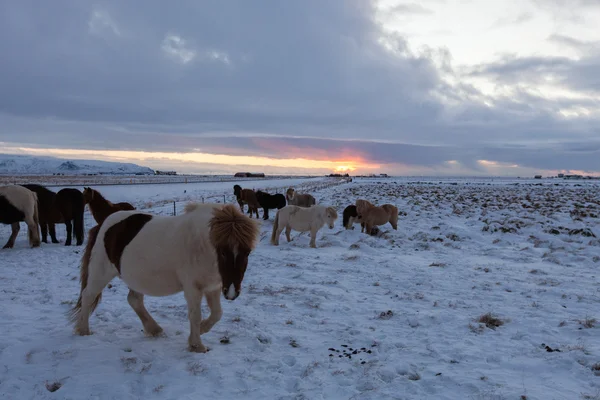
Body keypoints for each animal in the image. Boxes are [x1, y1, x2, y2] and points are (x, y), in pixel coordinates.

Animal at [68, 203, 260, 354]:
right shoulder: (193, 288)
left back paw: (154, 329)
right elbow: (195, 315)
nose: (232, 293)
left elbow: (217, 314)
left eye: (247, 252)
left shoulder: (212, 287)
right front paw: (196, 345)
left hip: (135, 278)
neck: (202, 245)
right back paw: (83, 330)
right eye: (222, 252)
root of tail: (103, 224)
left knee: (134, 300)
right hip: (100, 273)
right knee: (88, 296)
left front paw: (202, 330)